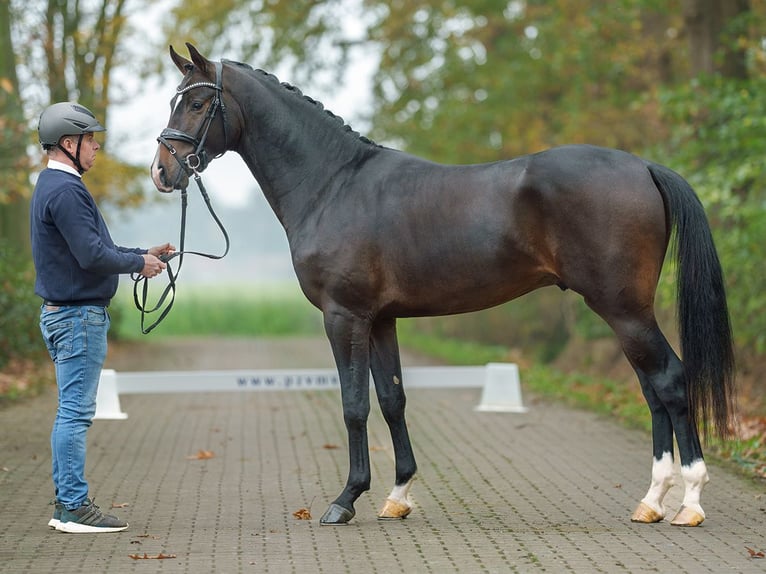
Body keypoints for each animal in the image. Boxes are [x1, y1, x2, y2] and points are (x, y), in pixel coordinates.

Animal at [152, 45, 736, 528]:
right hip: (625, 311)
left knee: (669, 382)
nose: (162, 172)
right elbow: (392, 399)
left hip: (623, 308)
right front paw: (397, 496)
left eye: (199, 103)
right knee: (652, 391)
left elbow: (354, 405)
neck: (334, 184)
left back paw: (689, 503)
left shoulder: (344, 316)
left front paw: (345, 500)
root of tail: (643, 166)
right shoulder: (381, 319)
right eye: (176, 101)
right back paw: (651, 502)